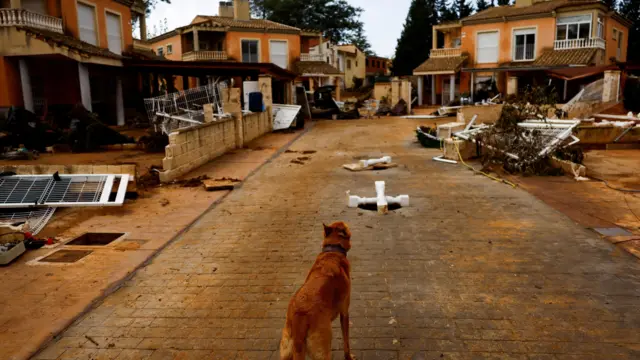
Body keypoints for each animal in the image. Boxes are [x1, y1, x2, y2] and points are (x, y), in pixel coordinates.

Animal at [280, 222, 356, 360]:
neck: (332, 251)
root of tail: (299, 316)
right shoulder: (344, 312)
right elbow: (346, 342)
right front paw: (349, 357)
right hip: (323, 348)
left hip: (286, 349)